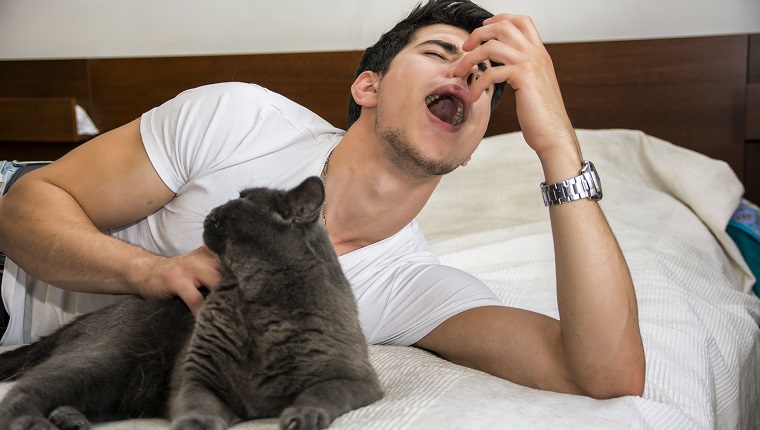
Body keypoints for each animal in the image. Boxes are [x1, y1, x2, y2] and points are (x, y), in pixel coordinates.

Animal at [0, 176, 380, 428]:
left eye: (242, 201)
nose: (214, 208)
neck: (254, 297)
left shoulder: (356, 379)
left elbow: (323, 393)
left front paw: (303, 415)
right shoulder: (196, 374)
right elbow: (197, 403)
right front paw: (195, 424)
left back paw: (68, 419)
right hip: (106, 360)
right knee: (22, 392)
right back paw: (39, 423)